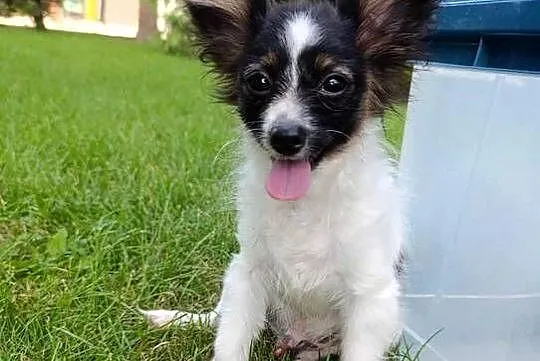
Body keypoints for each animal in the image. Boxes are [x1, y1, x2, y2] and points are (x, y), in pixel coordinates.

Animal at [146, 0, 436, 358]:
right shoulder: (249, 273)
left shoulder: (370, 295)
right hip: (235, 277)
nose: (285, 137)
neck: (305, 202)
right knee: (217, 317)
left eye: (334, 84)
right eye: (259, 80)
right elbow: (230, 340)